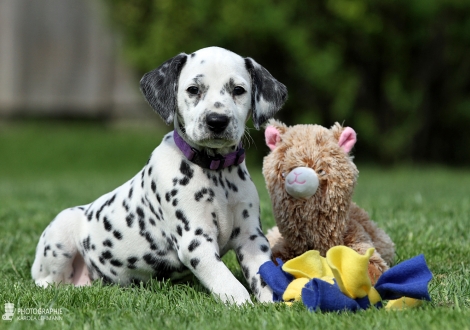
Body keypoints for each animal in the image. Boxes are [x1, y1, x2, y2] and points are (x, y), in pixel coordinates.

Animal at [31, 45, 288, 304]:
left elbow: (263, 273)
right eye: (193, 89)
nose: (217, 121)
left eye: (238, 90)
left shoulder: (251, 238)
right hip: (61, 233)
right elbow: (228, 283)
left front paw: (271, 303)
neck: (216, 173)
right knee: (46, 282)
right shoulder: (195, 242)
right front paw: (243, 305)